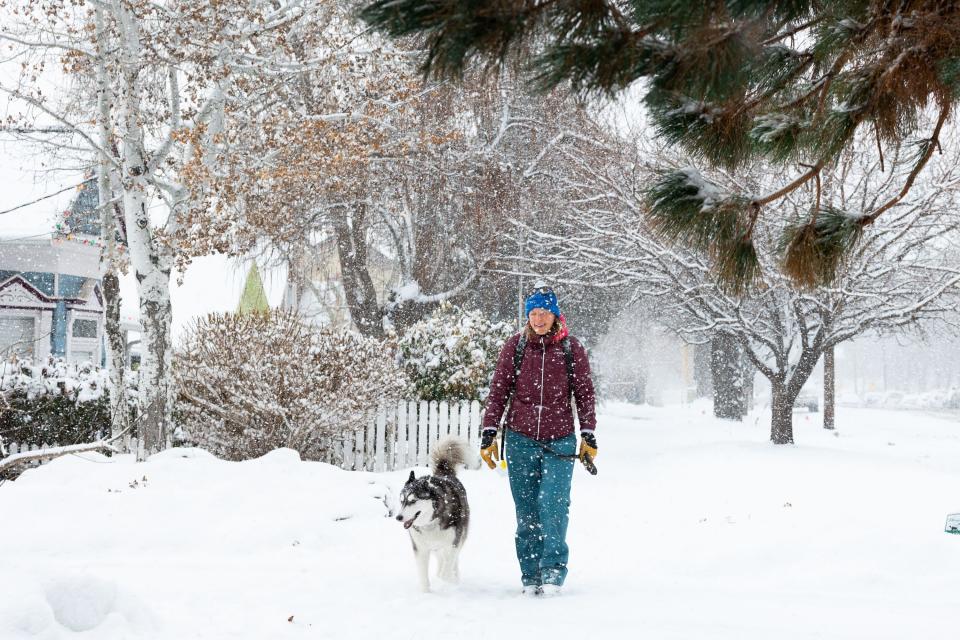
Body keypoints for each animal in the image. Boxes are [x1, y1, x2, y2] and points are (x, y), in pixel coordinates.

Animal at [396, 436, 474, 592]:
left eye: (412, 501)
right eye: (401, 501)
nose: (398, 517)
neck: (430, 523)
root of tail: (445, 474)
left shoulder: (453, 543)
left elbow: (447, 568)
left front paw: (447, 580)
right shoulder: (420, 548)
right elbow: (423, 576)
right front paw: (426, 592)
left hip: (459, 537)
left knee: (452, 561)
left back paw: (454, 578)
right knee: (441, 559)